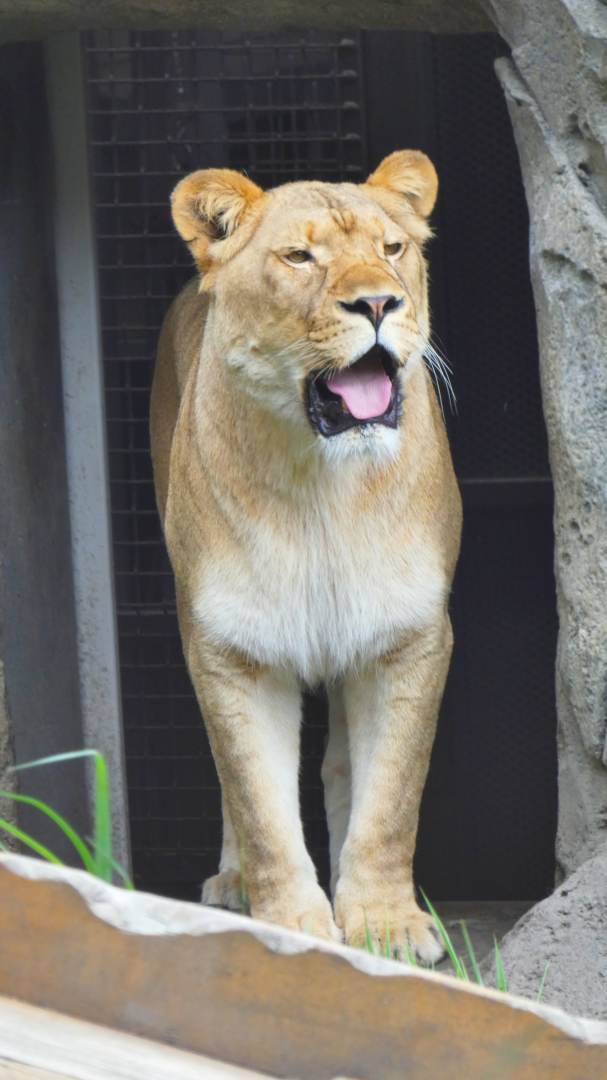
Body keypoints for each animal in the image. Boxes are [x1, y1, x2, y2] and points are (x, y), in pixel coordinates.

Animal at [150, 150, 462, 960]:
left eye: (392, 248)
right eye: (299, 257)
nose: (379, 304)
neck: (323, 488)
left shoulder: (408, 636)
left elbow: (391, 796)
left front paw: (384, 925)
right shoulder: (230, 645)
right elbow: (258, 800)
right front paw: (289, 928)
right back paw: (233, 884)